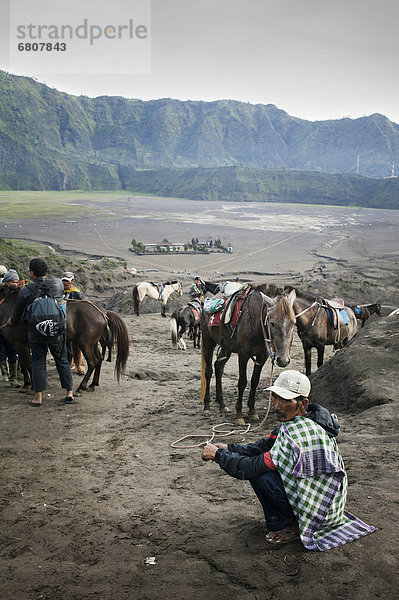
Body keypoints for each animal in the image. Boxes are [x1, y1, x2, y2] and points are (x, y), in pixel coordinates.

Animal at [0, 286, 129, 394]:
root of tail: (102, 313)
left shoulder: (20, 343)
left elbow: (27, 364)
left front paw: (30, 385)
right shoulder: (23, 344)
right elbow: (25, 364)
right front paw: (27, 384)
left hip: (85, 344)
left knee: (92, 363)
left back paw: (81, 386)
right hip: (92, 344)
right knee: (99, 360)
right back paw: (92, 384)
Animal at [200, 288, 296, 424]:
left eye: (293, 323)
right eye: (272, 323)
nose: (283, 360)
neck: (256, 325)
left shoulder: (262, 356)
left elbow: (255, 381)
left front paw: (252, 411)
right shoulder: (243, 355)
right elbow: (242, 382)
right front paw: (239, 414)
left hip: (226, 347)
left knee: (219, 367)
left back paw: (222, 405)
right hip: (208, 341)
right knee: (208, 371)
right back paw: (207, 406)